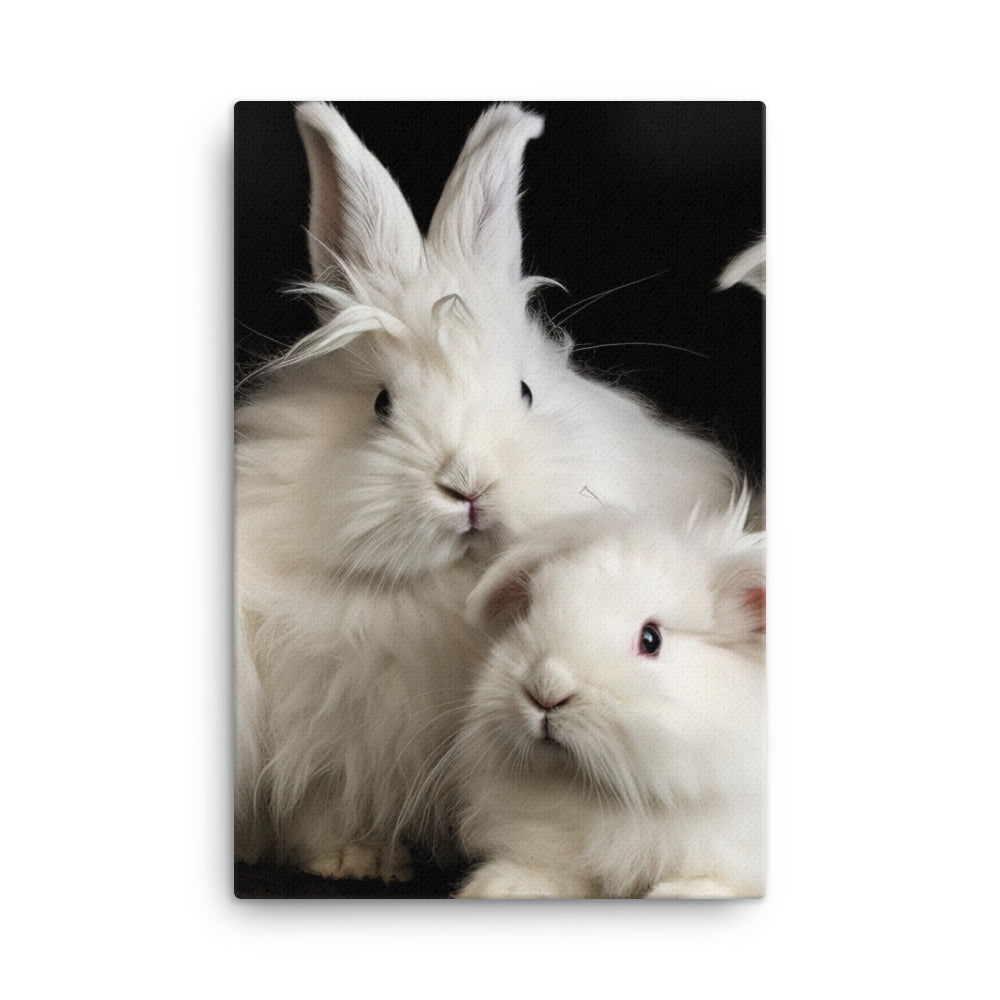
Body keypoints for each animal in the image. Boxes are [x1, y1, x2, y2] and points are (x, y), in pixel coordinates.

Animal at [235, 102, 744, 879]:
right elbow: (317, 807)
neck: (446, 591)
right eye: (381, 403)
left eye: (527, 392)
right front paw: (355, 859)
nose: (468, 485)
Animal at [450, 497, 765, 898]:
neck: (600, 796)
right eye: (531, 610)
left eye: (651, 639)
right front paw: (501, 887)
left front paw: (681, 893)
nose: (546, 689)